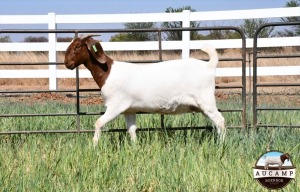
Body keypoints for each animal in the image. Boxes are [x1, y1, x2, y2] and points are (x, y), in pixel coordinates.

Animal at [65, 34, 225, 146]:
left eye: (78, 47)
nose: (67, 63)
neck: (108, 72)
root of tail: (209, 66)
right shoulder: (129, 109)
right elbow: (131, 129)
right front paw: (135, 147)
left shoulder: (115, 105)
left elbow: (98, 123)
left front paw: (94, 145)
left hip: (206, 101)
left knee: (220, 121)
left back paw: (221, 144)